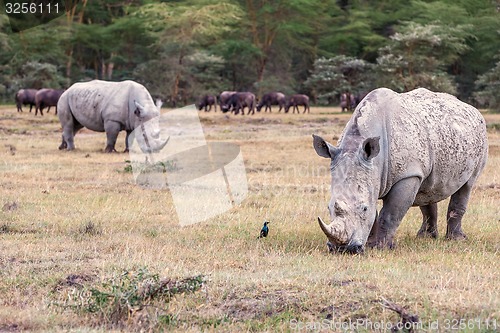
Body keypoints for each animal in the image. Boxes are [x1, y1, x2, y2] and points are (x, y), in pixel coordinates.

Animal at [312, 87, 488, 253]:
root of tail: (470, 107)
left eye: (364, 208)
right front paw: (370, 244)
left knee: (467, 185)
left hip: (480, 137)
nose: (341, 249)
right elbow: (376, 215)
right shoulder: (373, 175)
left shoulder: (408, 174)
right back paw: (425, 237)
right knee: (428, 188)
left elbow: (390, 214)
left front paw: (381, 247)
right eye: (329, 207)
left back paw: (456, 239)